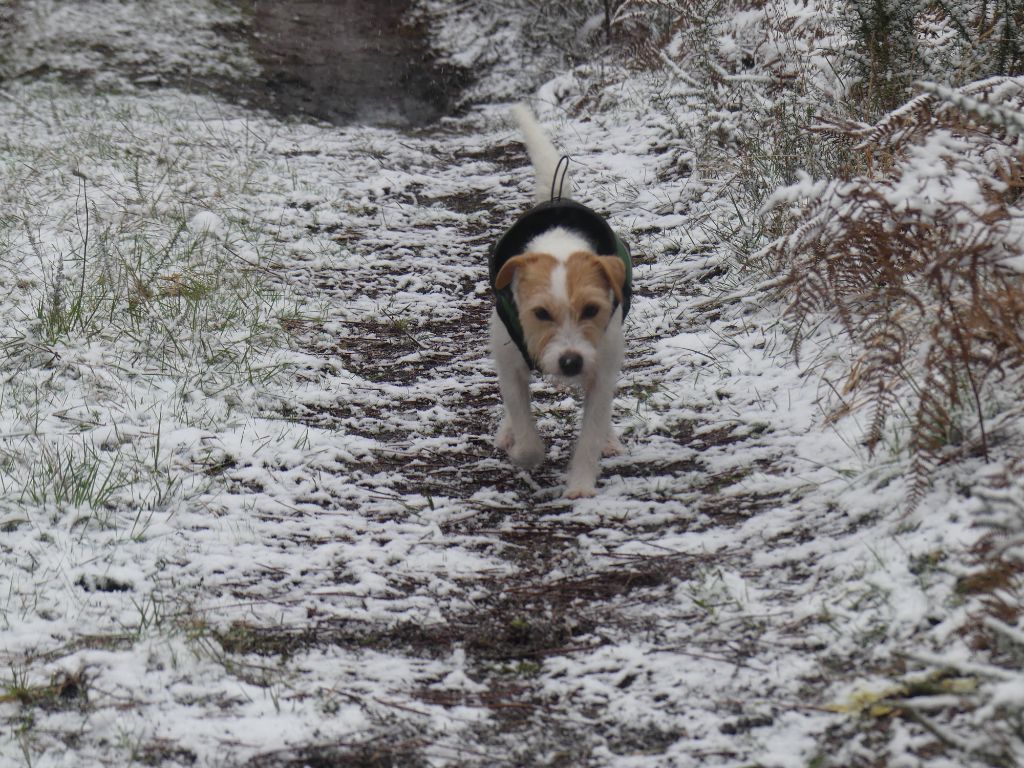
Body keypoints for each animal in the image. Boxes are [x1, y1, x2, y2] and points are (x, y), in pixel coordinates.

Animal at [487, 103, 630, 499]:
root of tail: (555, 198)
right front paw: (522, 451)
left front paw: (580, 486)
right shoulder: (509, 362)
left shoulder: (601, 366)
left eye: (592, 309)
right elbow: (523, 423)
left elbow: (592, 429)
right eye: (540, 313)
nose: (570, 362)